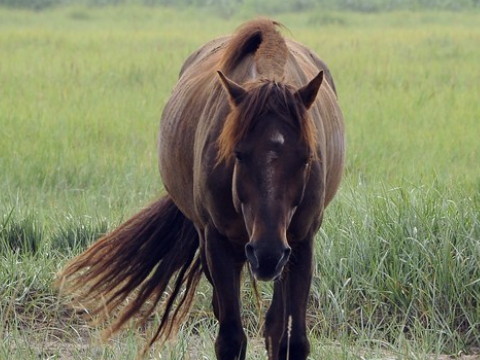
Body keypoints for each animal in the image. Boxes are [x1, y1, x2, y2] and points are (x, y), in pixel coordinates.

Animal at [58, 19, 344, 360]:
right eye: (238, 154)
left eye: (306, 158)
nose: (267, 253)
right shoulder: (217, 242)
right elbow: (231, 339)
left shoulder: (301, 242)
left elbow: (293, 341)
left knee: (275, 324)